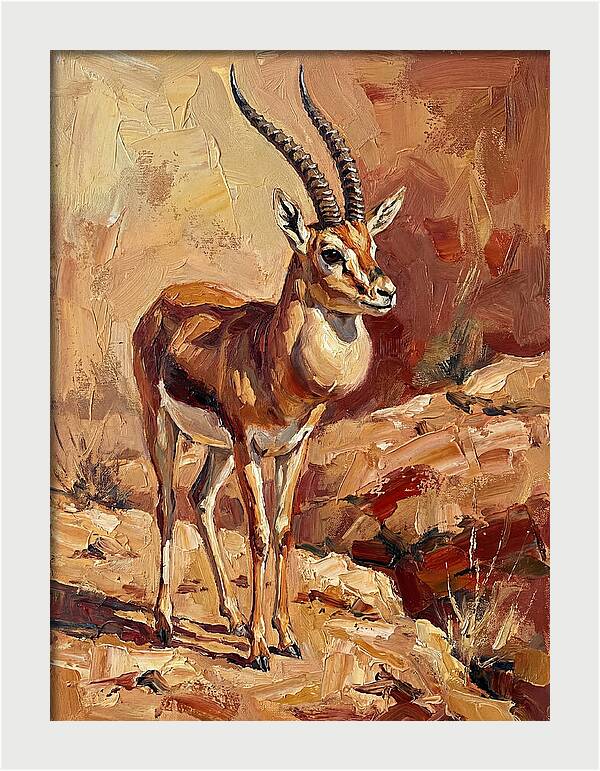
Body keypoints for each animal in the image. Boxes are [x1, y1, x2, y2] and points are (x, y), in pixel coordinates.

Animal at [132, 64, 406, 671]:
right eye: (330, 251)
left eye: (371, 243)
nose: (384, 292)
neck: (274, 365)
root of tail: (163, 299)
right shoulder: (250, 447)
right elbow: (257, 532)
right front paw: (259, 648)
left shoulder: (292, 447)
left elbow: (281, 530)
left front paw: (285, 635)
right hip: (164, 426)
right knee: (166, 503)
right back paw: (166, 623)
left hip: (214, 448)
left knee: (201, 500)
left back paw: (231, 616)